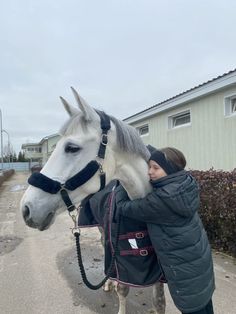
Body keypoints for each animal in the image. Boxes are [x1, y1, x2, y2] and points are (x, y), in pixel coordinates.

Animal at [20, 88, 166, 314]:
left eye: (72, 147)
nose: (26, 209)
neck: (142, 208)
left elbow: (159, 302)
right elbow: (123, 289)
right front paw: (114, 287)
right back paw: (108, 283)